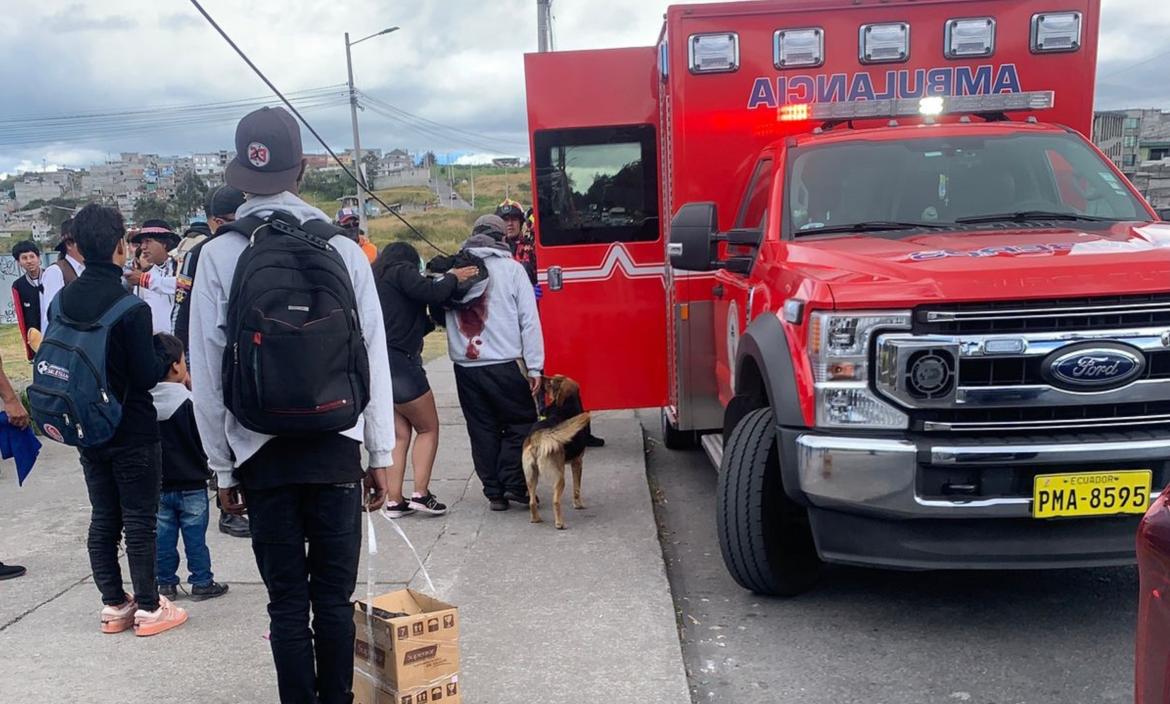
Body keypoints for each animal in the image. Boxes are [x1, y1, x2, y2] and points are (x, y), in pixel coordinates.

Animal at [524, 371, 594, 526]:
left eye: (552, 381)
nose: (539, 376)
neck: (564, 407)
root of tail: (539, 436)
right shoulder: (577, 462)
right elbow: (577, 488)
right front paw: (578, 505)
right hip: (559, 476)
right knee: (555, 501)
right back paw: (560, 523)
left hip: (530, 476)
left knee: (531, 501)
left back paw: (535, 519)